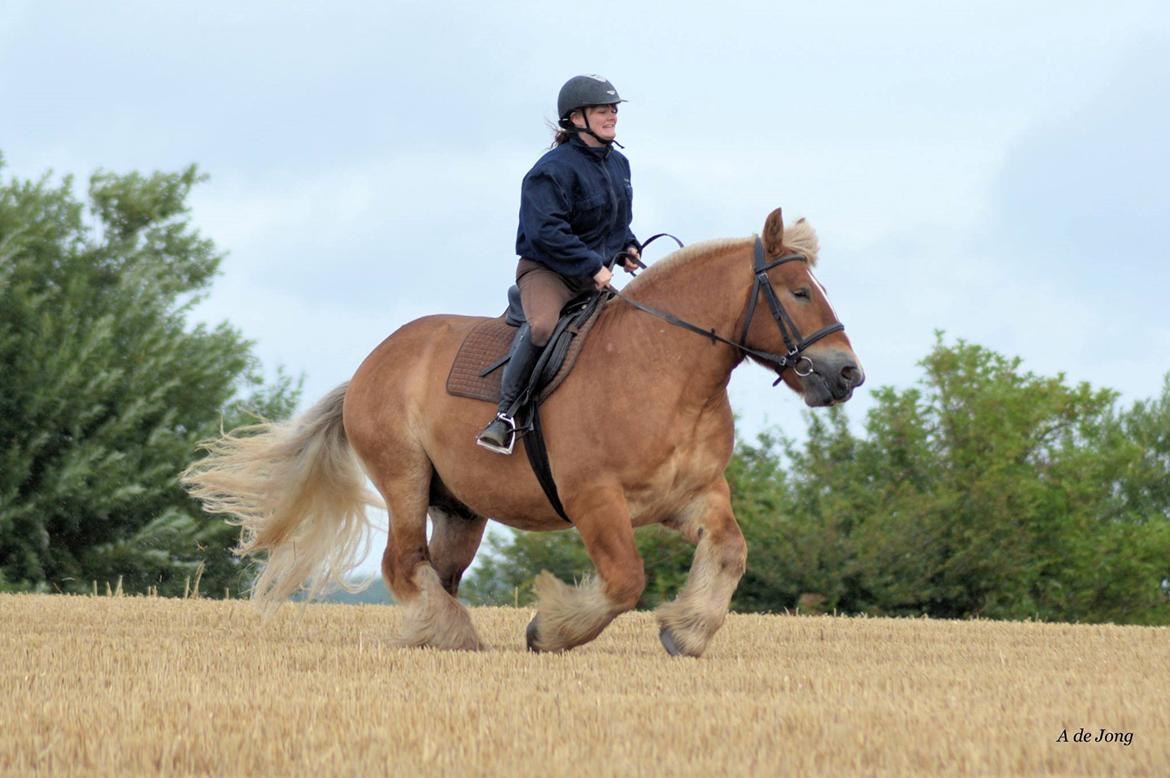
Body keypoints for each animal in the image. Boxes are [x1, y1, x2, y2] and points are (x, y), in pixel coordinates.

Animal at [180, 208, 861, 655]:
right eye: (799, 292)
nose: (848, 374)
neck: (662, 369)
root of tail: (371, 365)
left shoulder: (694, 495)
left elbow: (729, 551)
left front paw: (685, 631)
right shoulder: (594, 500)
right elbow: (625, 579)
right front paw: (550, 630)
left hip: (460, 508)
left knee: (437, 570)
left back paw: (438, 633)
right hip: (404, 479)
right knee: (403, 562)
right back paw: (455, 635)